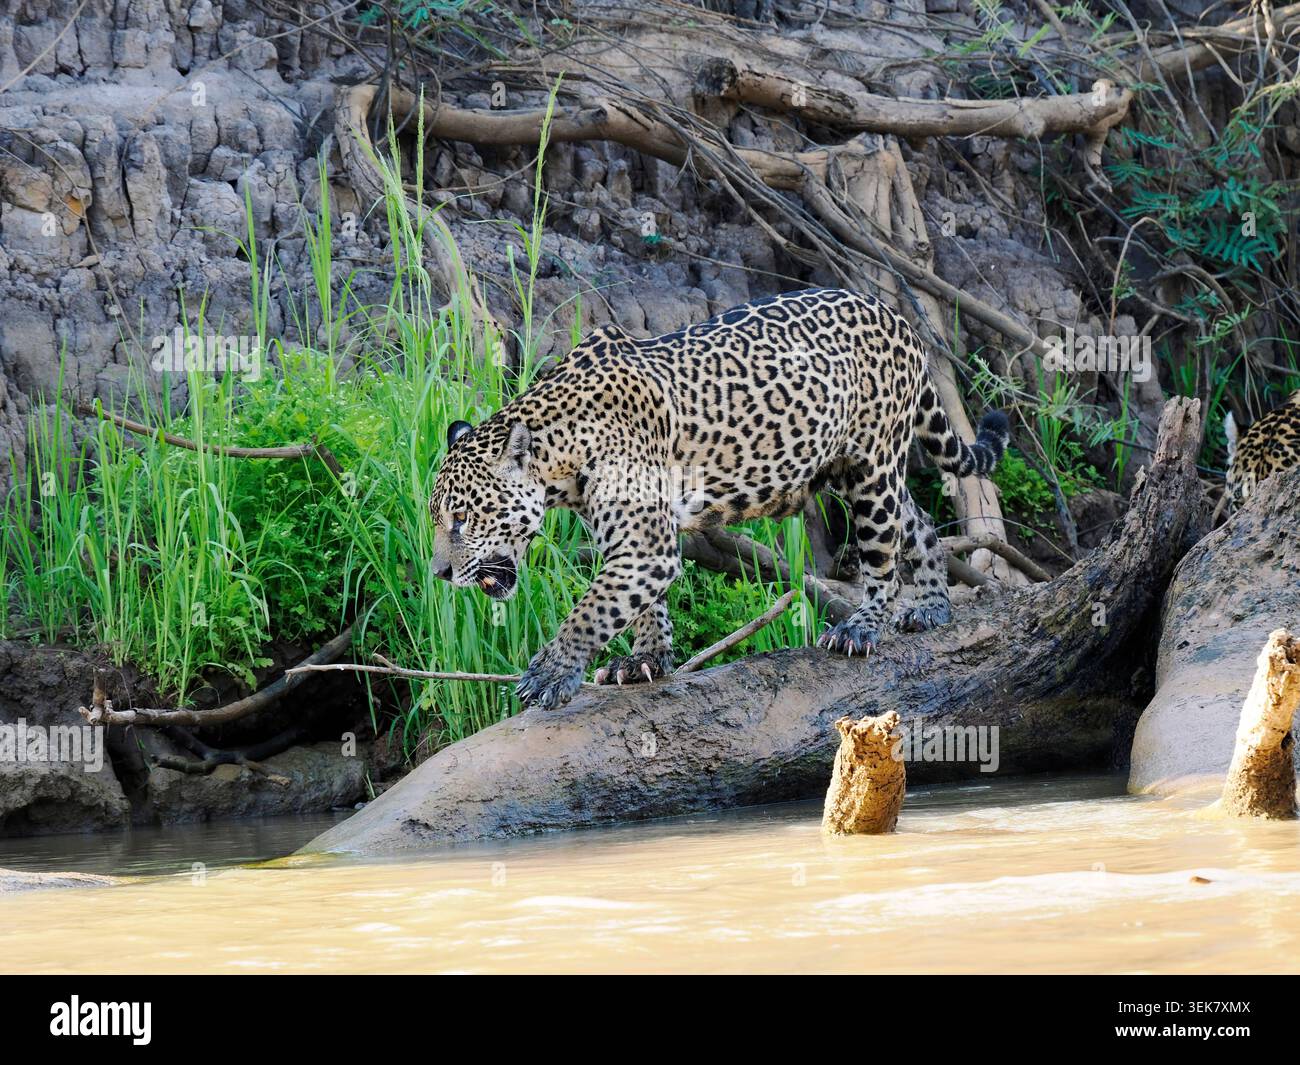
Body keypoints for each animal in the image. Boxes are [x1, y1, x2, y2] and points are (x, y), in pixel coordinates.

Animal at [430, 287, 1010, 710]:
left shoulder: (642, 544)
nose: (439, 573)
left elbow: (592, 611)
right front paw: (645, 660)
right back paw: (932, 605)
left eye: (462, 518)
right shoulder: (638, 544)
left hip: (872, 466)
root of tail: (895, 315)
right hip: (849, 469)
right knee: (918, 521)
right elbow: (641, 604)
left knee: (883, 555)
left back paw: (863, 626)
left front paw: (549, 674)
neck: (560, 453)